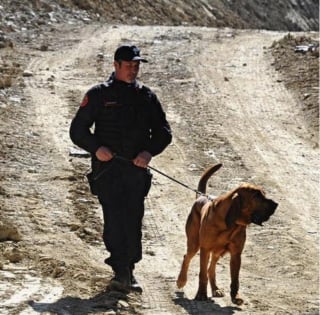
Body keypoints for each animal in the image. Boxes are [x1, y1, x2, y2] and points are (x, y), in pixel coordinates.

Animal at [176, 165, 278, 306]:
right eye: (256, 196)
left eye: (263, 194)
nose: (276, 204)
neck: (231, 223)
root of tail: (201, 197)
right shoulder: (205, 249)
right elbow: (202, 274)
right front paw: (201, 294)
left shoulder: (236, 254)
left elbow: (235, 279)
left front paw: (235, 297)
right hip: (194, 244)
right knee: (188, 257)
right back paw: (181, 280)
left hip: (218, 252)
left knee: (211, 268)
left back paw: (215, 289)